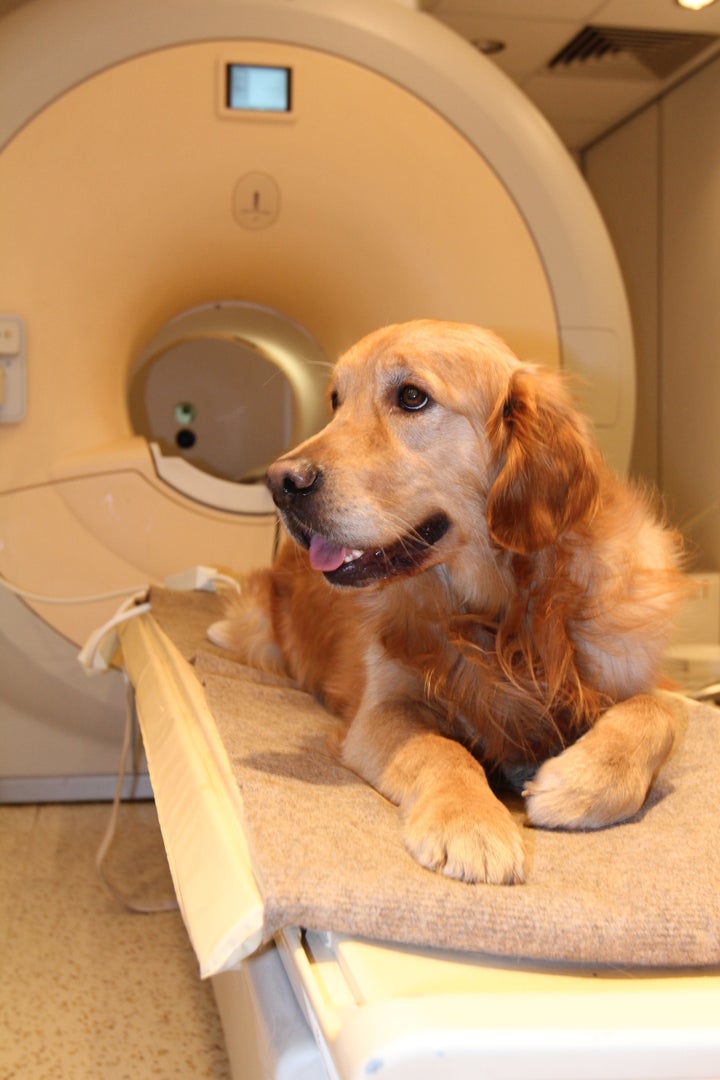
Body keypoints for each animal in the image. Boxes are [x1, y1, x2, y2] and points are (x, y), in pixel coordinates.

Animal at [209, 319, 686, 885]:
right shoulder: (382, 708)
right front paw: (470, 823)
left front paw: (580, 783)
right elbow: (441, 749)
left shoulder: (646, 676)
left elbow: (657, 712)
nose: (280, 482)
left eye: (412, 397)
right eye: (335, 401)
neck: (498, 612)